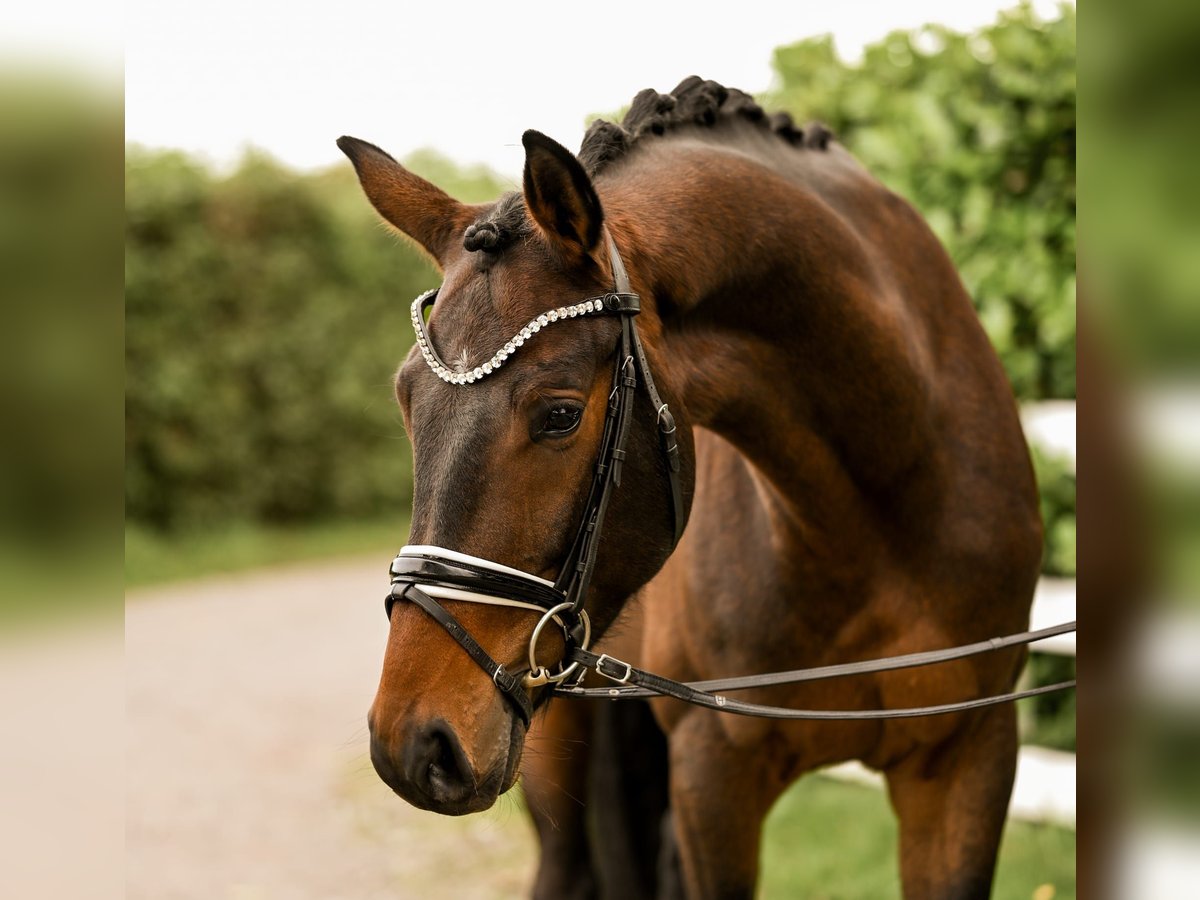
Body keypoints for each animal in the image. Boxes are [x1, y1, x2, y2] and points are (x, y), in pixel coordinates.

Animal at [340, 77, 1041, 900]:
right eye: (406, 401)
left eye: (559, 414)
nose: (414, 742)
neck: (881, 520)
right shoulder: (713, 770)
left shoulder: (969, 758)